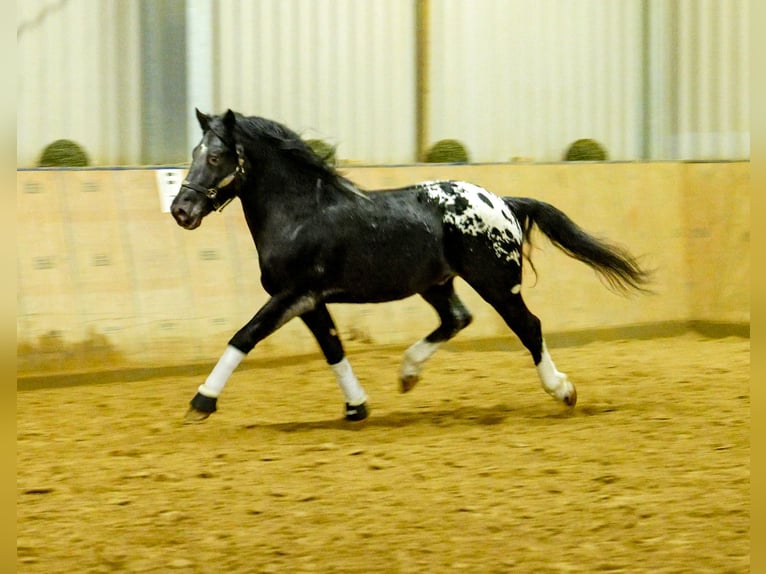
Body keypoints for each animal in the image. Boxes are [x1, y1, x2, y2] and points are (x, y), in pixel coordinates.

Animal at [171, 109, 652, 424]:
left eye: (214, 157)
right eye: (194, 151)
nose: (181, 210)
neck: (301, 212)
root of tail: (504, 202)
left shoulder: (293, 293)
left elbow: (244, 336)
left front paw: (201, 402)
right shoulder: (309, 300)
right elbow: (333, 349)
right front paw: (357, 407)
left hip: (496, 282)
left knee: (528, 327)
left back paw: (562, 390)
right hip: (436, 282)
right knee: (457, 318)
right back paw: (407, 374)